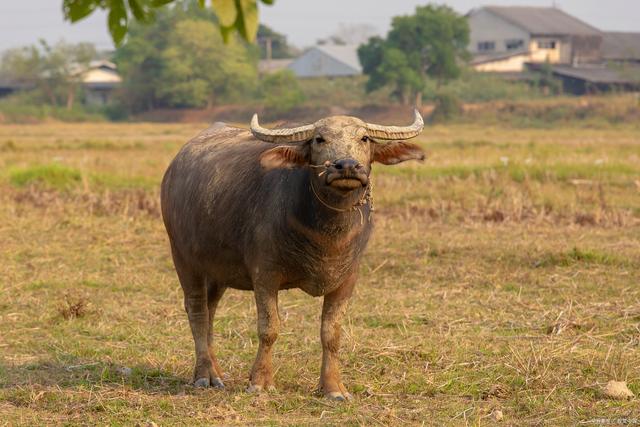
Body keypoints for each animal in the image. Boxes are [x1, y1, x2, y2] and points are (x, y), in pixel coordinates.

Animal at [161, 111, 424, 402]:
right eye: (319, 139)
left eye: (364, 138)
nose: (346, 166)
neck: (326, 235)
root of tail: (173, 170)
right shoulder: (265, 274)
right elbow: (269, 329)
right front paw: (260, 382)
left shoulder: (347, 278)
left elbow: (331, 333)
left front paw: (334, 387)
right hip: (183, 258)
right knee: (197, 310)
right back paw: (204, 375)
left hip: (217, 271)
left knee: (210, 310)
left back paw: (216, 372)